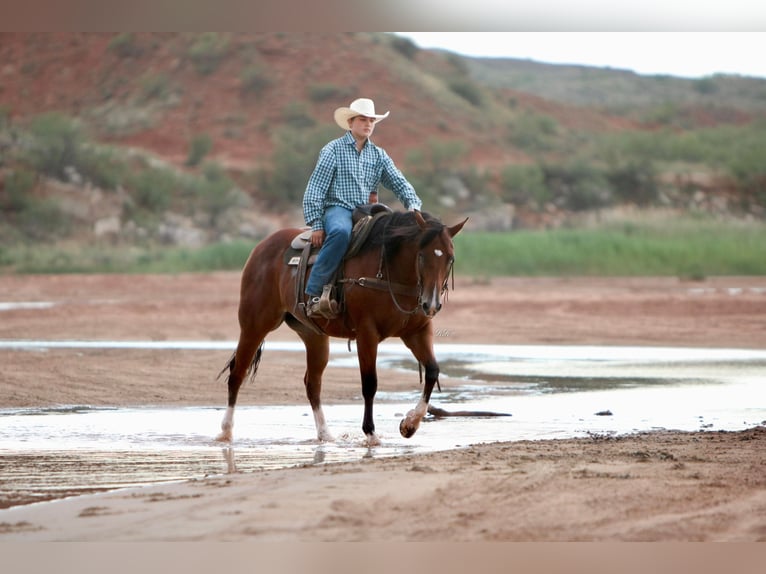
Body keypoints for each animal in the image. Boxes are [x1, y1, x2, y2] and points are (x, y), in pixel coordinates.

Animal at [216, 210, 468, 446]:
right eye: (422, 256)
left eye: (450, 258)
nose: (431, 304)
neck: (390, 271)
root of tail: (261, 247)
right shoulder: (367, 334)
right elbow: (370, 383)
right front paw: (371, 434)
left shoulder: (417, 332)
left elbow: (433, 371)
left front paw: (410, 425)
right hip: (254, 325)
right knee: (237, 374)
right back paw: (225, 432)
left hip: (313, 336)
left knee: (312, 384)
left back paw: (325, 435)